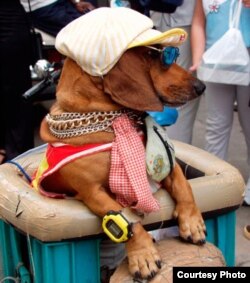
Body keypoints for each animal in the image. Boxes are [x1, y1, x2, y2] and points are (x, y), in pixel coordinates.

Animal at [36, 45, 205, 280]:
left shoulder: (167, 166)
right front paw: (143, 255)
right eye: (158, 56)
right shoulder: (92, 192)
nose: (201, 86)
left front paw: (192, 221)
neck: (114, 122)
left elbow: (184, 187)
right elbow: (123, 219)